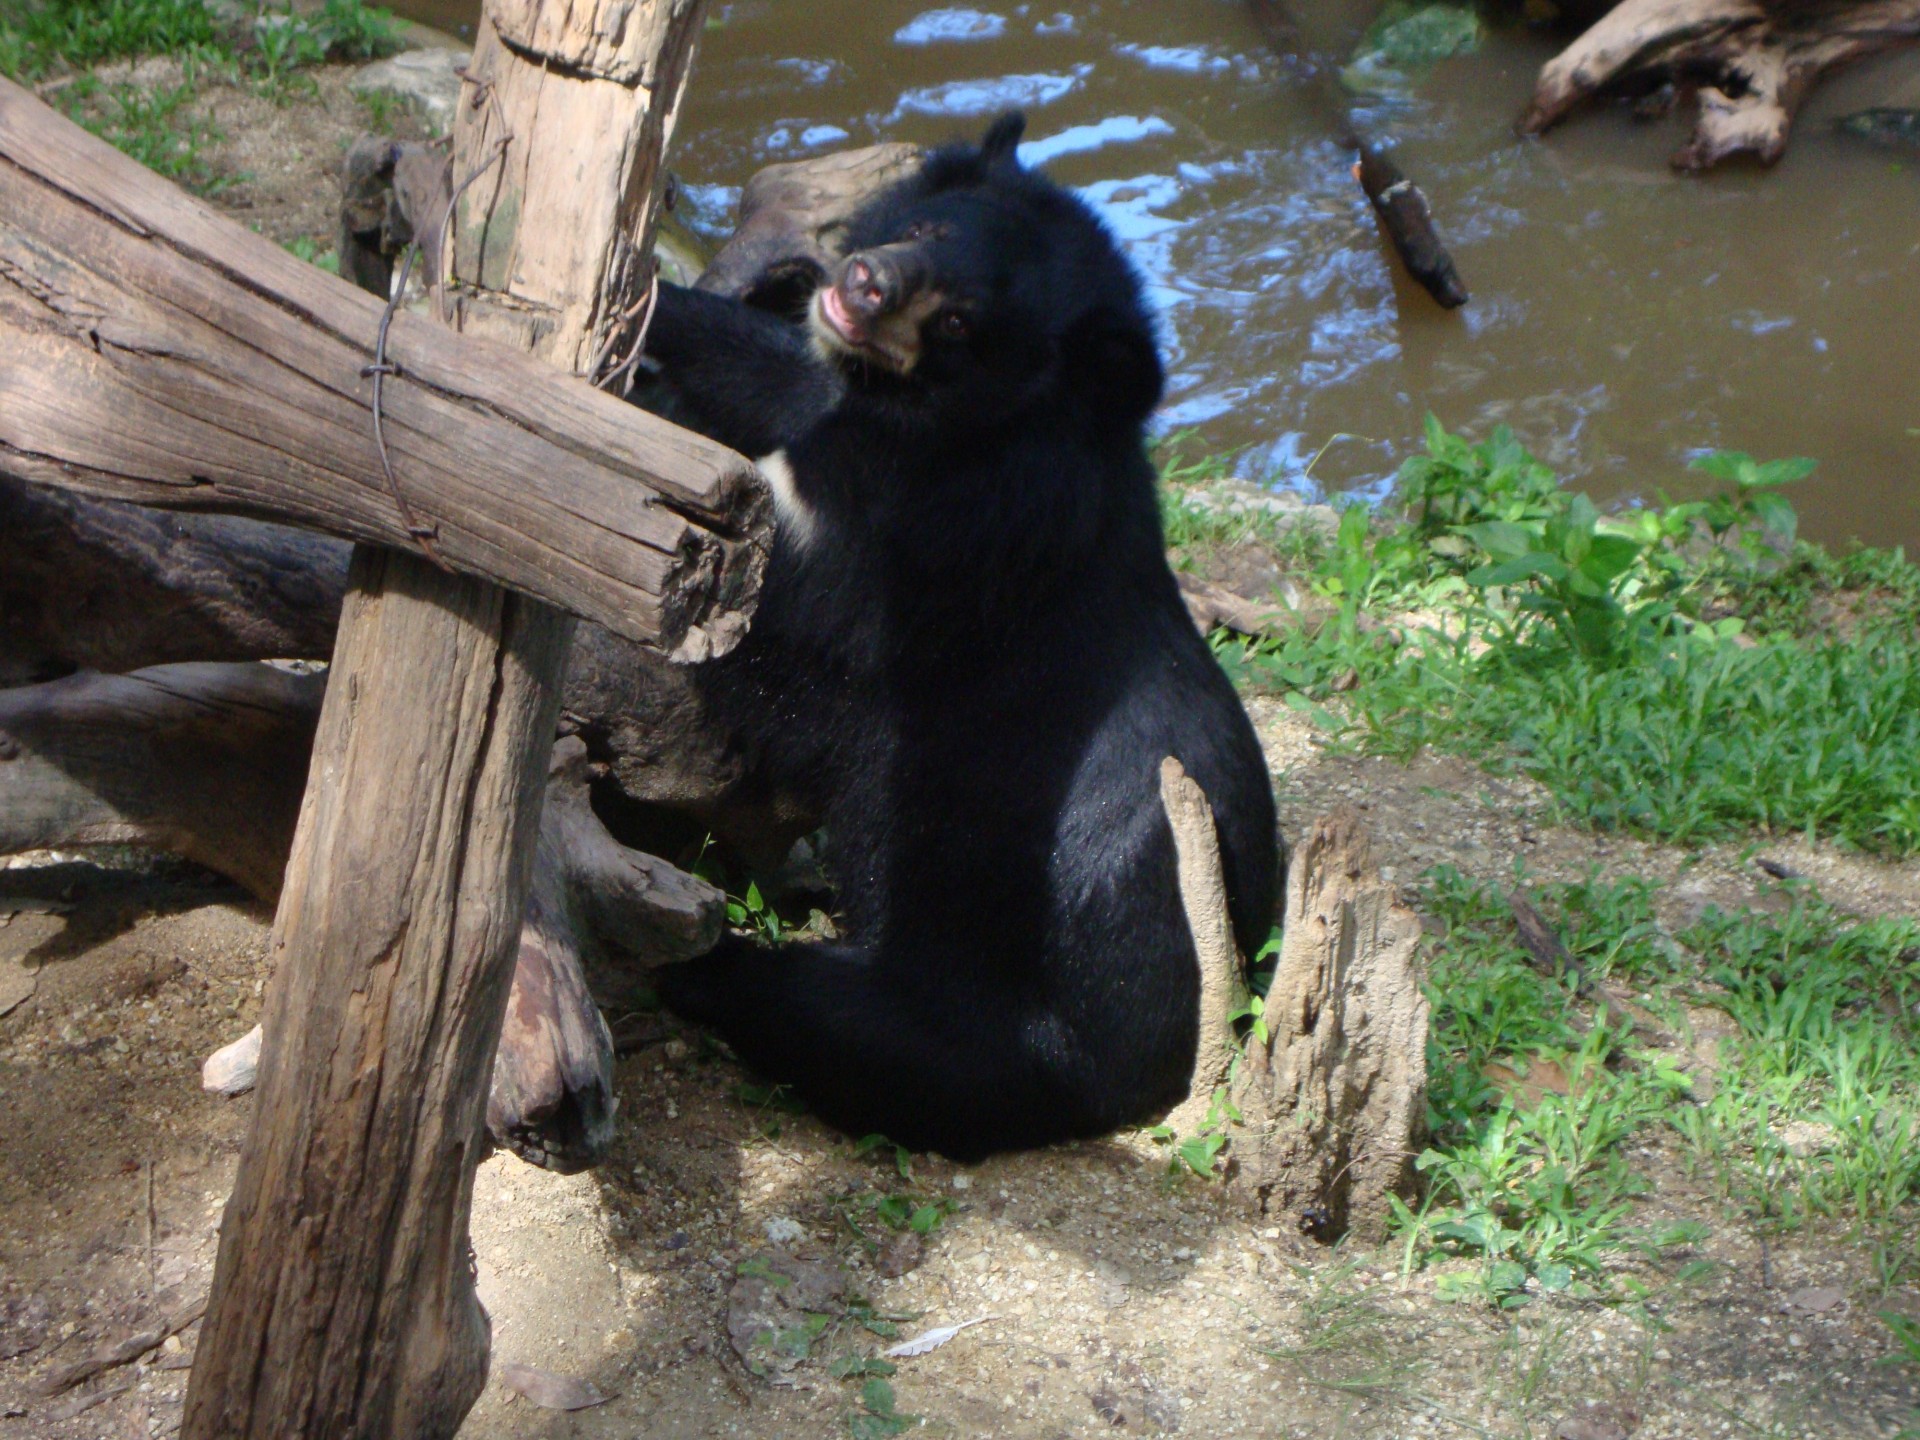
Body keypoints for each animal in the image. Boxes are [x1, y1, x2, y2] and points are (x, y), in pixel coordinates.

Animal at [637, 118, 1282, 1167]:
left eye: (957, 325)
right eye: (929, 226)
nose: (863, 285)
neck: (950, 431)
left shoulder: (934, 544)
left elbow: (771, 585)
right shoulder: (836, 397)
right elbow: (774, 370)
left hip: (1000, 1011)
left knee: (837, 1019)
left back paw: (690, 963)